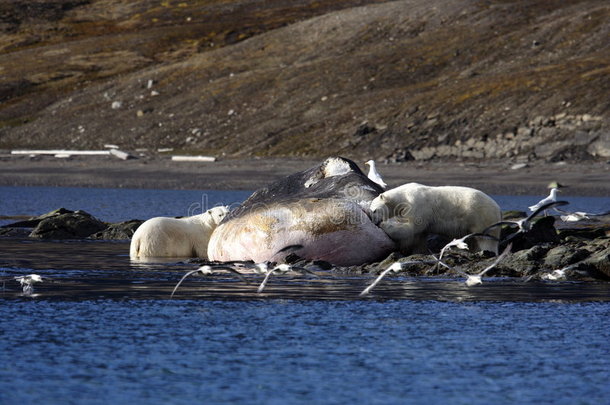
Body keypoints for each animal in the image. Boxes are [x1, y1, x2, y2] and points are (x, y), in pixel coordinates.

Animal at [366, 182, 498, 254]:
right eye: (370, 211)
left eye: (374, 210)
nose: (375, 222)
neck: (403, 196)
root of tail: (497, 208)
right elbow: (419, 236)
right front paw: (417, 251)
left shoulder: (416, 204)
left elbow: (411, 227)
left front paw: (385, 225)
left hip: (480, 217)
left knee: (485, 239)